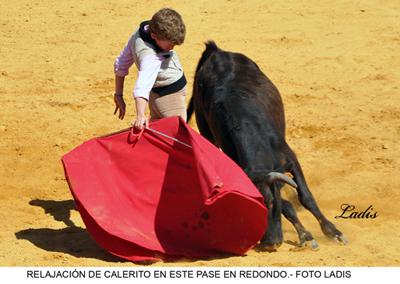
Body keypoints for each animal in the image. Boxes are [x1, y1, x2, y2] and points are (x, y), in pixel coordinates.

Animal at [188, 41, 346, 250]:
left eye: (270, 203)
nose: (269, 243)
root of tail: (216, 52)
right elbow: (286, 205)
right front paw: (305, 235)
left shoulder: (290, 159)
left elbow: (306, 197)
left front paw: (333, 232)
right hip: (205, 129)